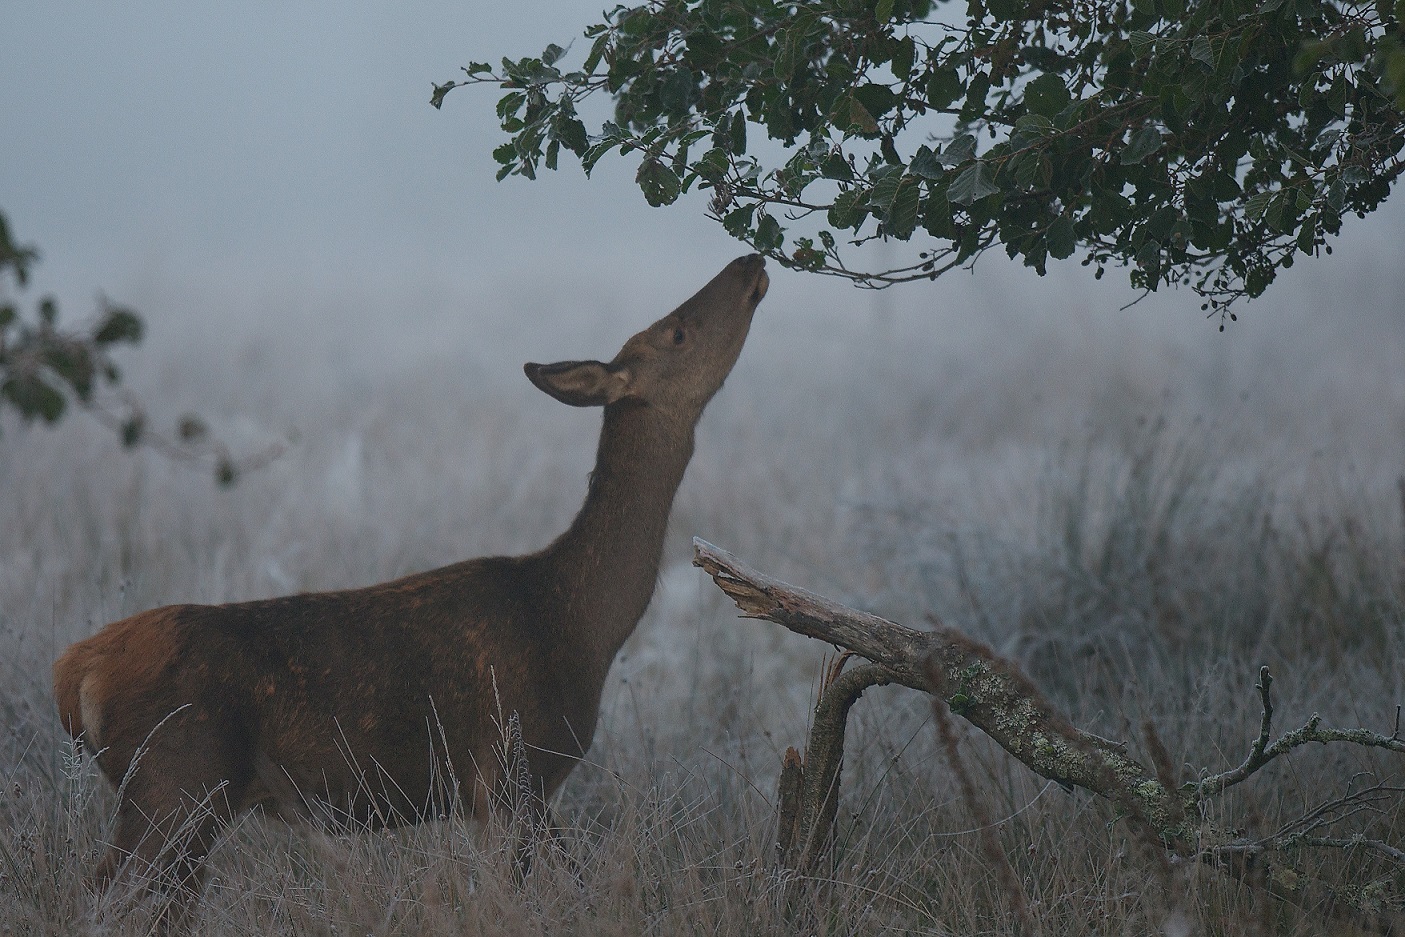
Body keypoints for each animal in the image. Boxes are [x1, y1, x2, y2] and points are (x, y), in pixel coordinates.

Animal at [54, 254, 769, 921]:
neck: (578, 623)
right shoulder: (507, 773)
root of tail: (75, 670)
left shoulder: (520, 793)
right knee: (98, 894)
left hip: (182, 805)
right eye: (677, 332)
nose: (749, 263)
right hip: (173, 784)